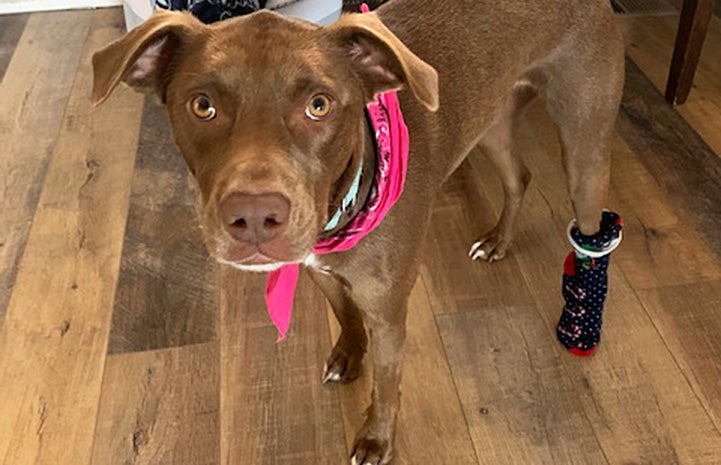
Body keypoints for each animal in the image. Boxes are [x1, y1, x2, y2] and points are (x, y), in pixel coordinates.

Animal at [91, 1, 624, 462]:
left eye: (319, 105)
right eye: (202, 105)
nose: (255, 216)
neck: (347, 200)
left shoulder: (388, 313)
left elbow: (386, 384)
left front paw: (376, 438)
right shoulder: (320, 268)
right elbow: (343, 313)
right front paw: (348, 356)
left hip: (584, 148)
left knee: (589, 230)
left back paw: (581, 320)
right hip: (491, 121)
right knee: (519, 178)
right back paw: (497, 241)